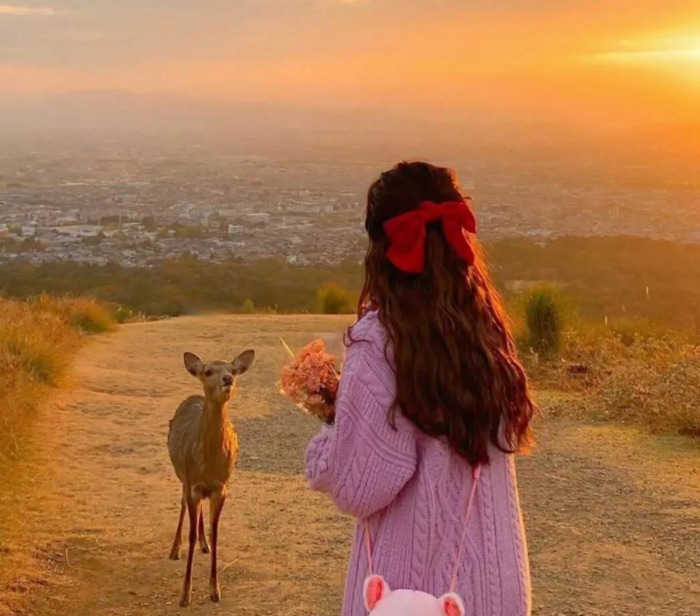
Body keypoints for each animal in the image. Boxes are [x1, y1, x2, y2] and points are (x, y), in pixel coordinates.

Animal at [167, 348, 254, 608]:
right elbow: (190, 535)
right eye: (207, 372)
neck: (209, 463)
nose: (228, 378)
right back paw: (174, 549)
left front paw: (215, 590)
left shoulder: (221, 487)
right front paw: (184, 595)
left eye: (232, 369)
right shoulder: (192, 483)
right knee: (182, 505)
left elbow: (216, 534)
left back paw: (203, 545)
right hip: (181, 475)